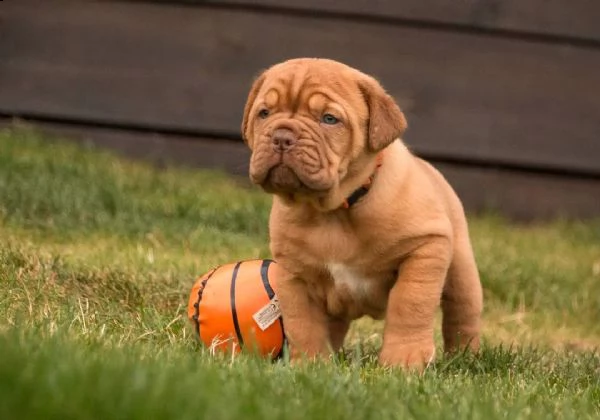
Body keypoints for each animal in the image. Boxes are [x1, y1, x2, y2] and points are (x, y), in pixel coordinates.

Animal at [239, 56, 482, 370]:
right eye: (264, 113)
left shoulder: (425, 248)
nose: (281, 137)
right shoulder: (294, 275)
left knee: (462, 314)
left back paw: (466, 357)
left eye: (329, 119)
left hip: (461, 271)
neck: (334, 210)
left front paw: (404, 361)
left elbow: (410, 303)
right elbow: (302, 323)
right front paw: (310, 364)